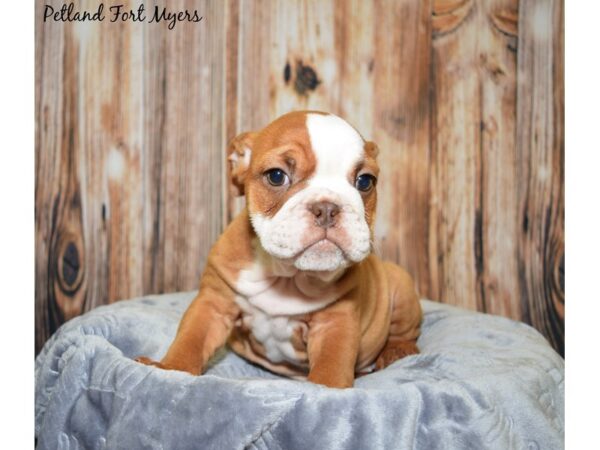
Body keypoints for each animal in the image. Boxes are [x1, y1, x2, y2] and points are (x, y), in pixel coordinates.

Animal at [136, 110, 422, 388]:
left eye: (365, 181)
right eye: (276, 176)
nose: (327, 207)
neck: (287, 276)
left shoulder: (334, 324)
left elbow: (331, 368)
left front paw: (325, 390)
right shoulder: (214, 303)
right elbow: (191, 339)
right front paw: (170, 370)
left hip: (402, 286)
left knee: (405, 332)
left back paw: (397, 352)